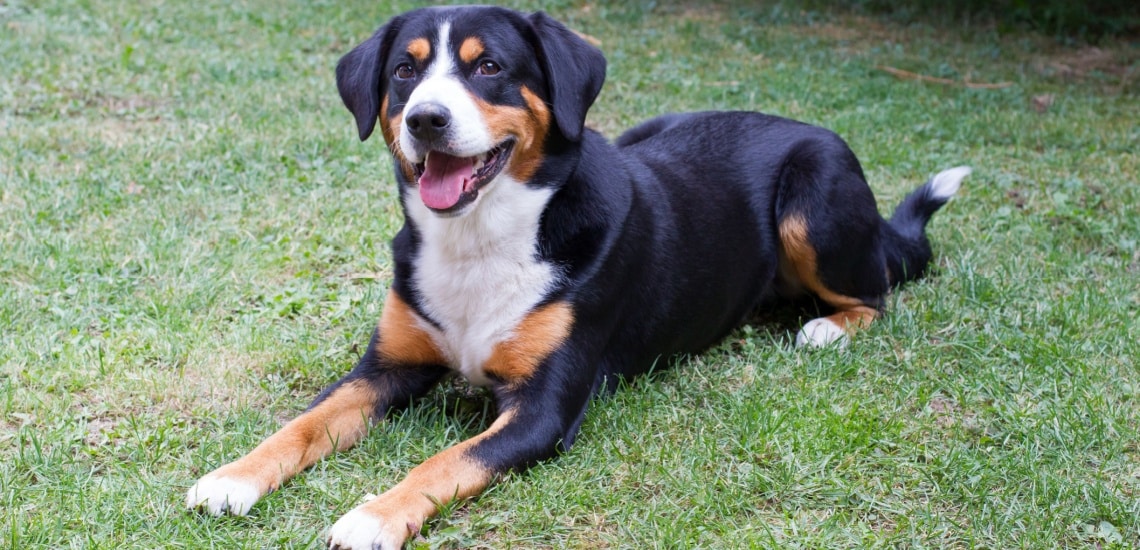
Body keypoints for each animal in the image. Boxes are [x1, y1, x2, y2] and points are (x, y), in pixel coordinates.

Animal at [186, 5, 971, 550]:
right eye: (405, 72)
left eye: (489, 67)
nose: (426, 119)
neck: (481, 239)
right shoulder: (386, 366)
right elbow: (301, 424)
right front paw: (232, 478)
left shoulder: (543, 408)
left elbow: (443, 463)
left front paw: (371, 518)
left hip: (814, 200)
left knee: (880, 288)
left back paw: (826, 328)